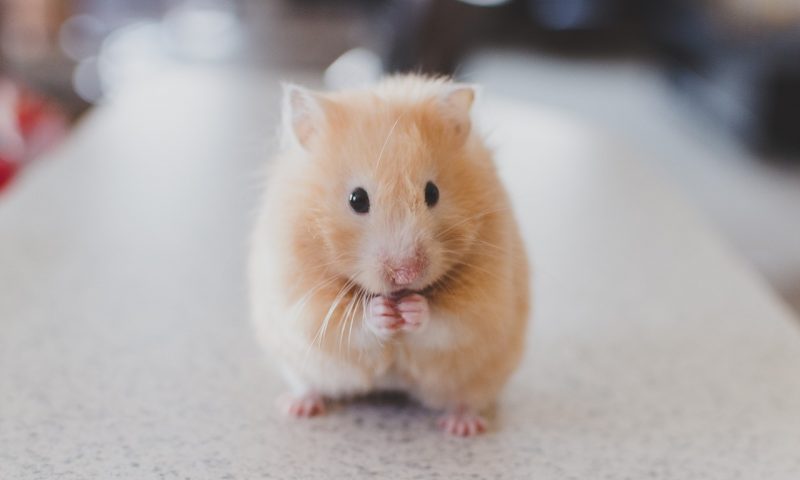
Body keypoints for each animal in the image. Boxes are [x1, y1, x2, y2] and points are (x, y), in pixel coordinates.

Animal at [249, 75, 530, 436]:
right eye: (357, 199)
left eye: (432, 193)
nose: (406, 274)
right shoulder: (301, 298)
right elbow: (348, 324)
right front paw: (382, 312)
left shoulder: (485, 302)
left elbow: (448, 322)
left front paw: (412, 310)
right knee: (309, 385)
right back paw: (297, 407)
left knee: (466, 399)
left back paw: (462, 426)